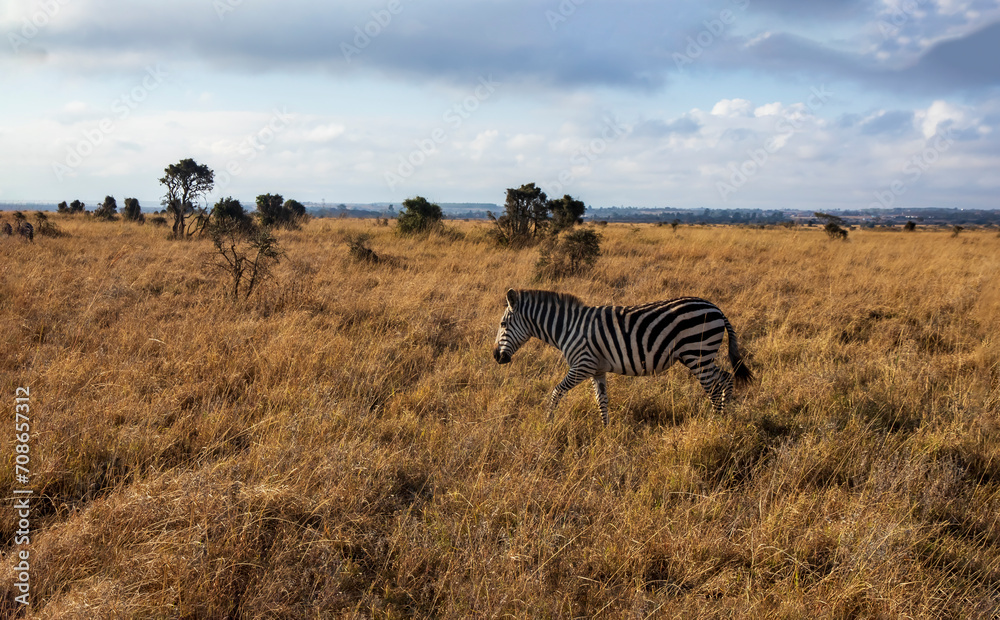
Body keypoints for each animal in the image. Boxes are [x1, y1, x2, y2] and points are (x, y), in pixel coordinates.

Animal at [492, 289, 752, 425]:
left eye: (503, 325)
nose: (496, 357)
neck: (567, 328)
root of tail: (716, 308)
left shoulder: (582, 365)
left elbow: (557, 391)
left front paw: (548, 422)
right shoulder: (597, 369)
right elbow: (602, 400)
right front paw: (605, 430)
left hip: (697, 354)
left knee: (714, 389)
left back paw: (714, 423)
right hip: (703, 356)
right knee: (726, 378)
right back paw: (725, 418)